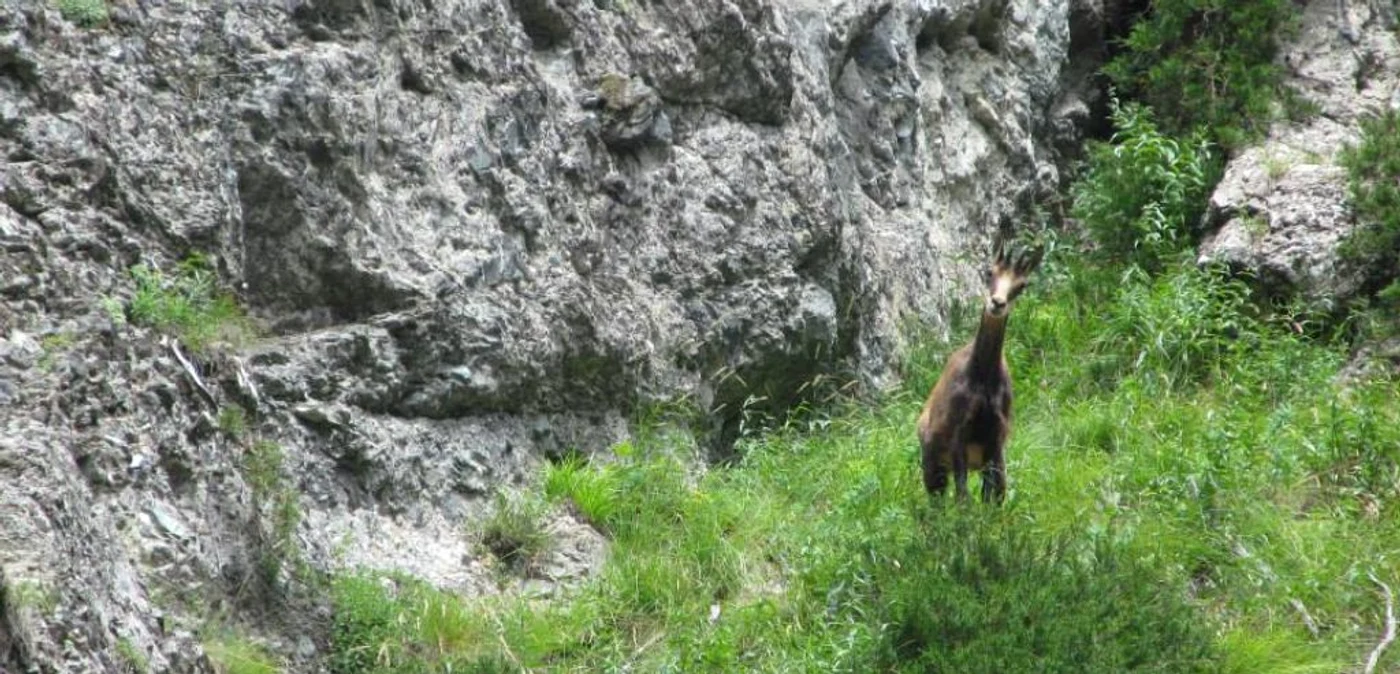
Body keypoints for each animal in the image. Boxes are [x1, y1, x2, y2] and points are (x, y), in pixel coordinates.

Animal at [917, 238, 1043, 504]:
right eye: (989, 272)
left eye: (1022, 285)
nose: (997, 303)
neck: (982, 377)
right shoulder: (958, 434)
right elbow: (964, 498)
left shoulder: (997, 437)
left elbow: (995, 496)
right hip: (933, 465)